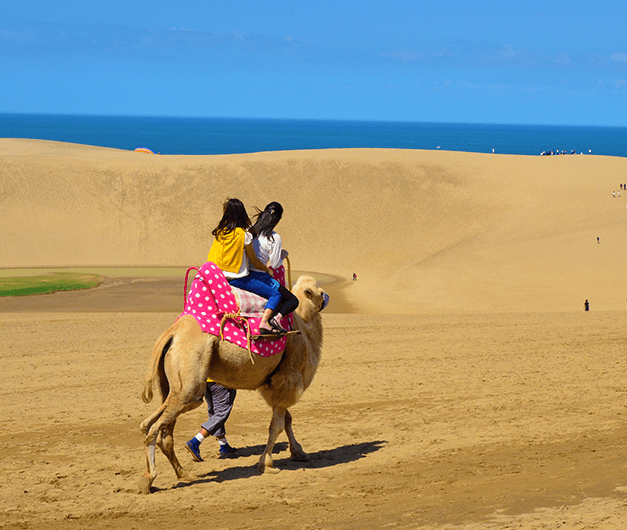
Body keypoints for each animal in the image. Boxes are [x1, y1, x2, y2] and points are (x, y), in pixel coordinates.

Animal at [139, 274, 328, 492]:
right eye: (319, 292)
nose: (326, 297)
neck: (303, 325)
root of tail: (172, 333)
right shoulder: (288, 378)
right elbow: (277, 426)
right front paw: (267, 464)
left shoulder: (276, 386)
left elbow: (287, 420)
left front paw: (299, 452)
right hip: (190, 384)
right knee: (156, 428)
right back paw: (150, 479)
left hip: (172, 386)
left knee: (156, 428)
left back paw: (183, 474)